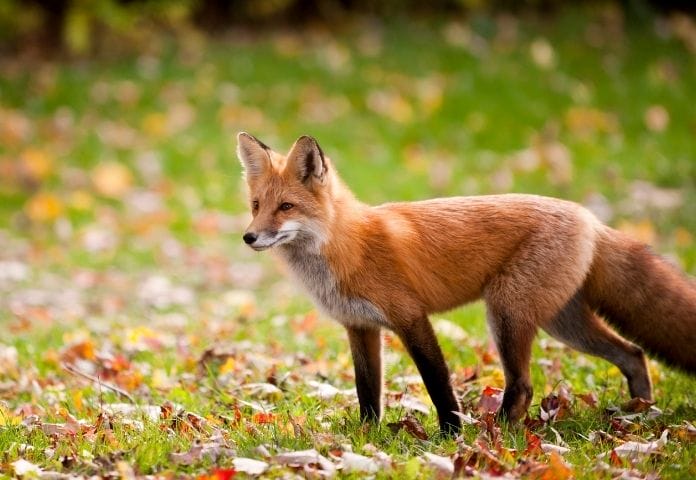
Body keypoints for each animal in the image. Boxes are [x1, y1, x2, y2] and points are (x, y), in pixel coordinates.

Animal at [237, 132, 692, 436]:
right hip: (563, 323)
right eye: (257, 206)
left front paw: (450, 434)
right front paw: (368, 436)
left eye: (286, 207)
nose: (249, 237)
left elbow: (437, 382)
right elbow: (368, 392)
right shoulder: (360, 327)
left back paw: (496, 434)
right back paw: (639, 410)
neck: (347, 245)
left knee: (523, 386)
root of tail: (590, 217)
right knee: (633, 353)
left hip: (507, 313)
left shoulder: (410, 317)